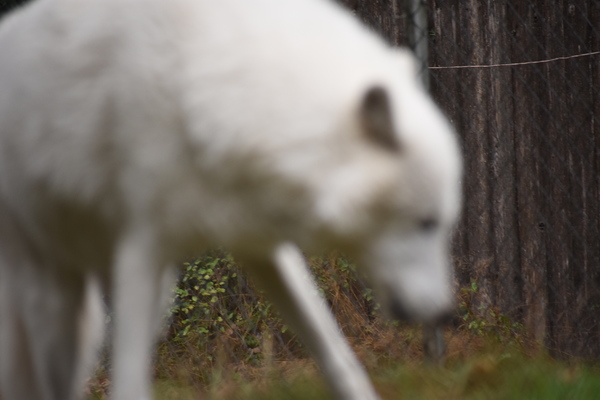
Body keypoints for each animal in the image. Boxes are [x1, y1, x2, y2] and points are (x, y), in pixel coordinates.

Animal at [0, 0, 461, 399]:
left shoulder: (263, 244)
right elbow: (129, 385)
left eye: (443, 224)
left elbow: (339, 359)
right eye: (427, 223)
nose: (446, 314)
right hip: (53, 294)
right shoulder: (141, 247)